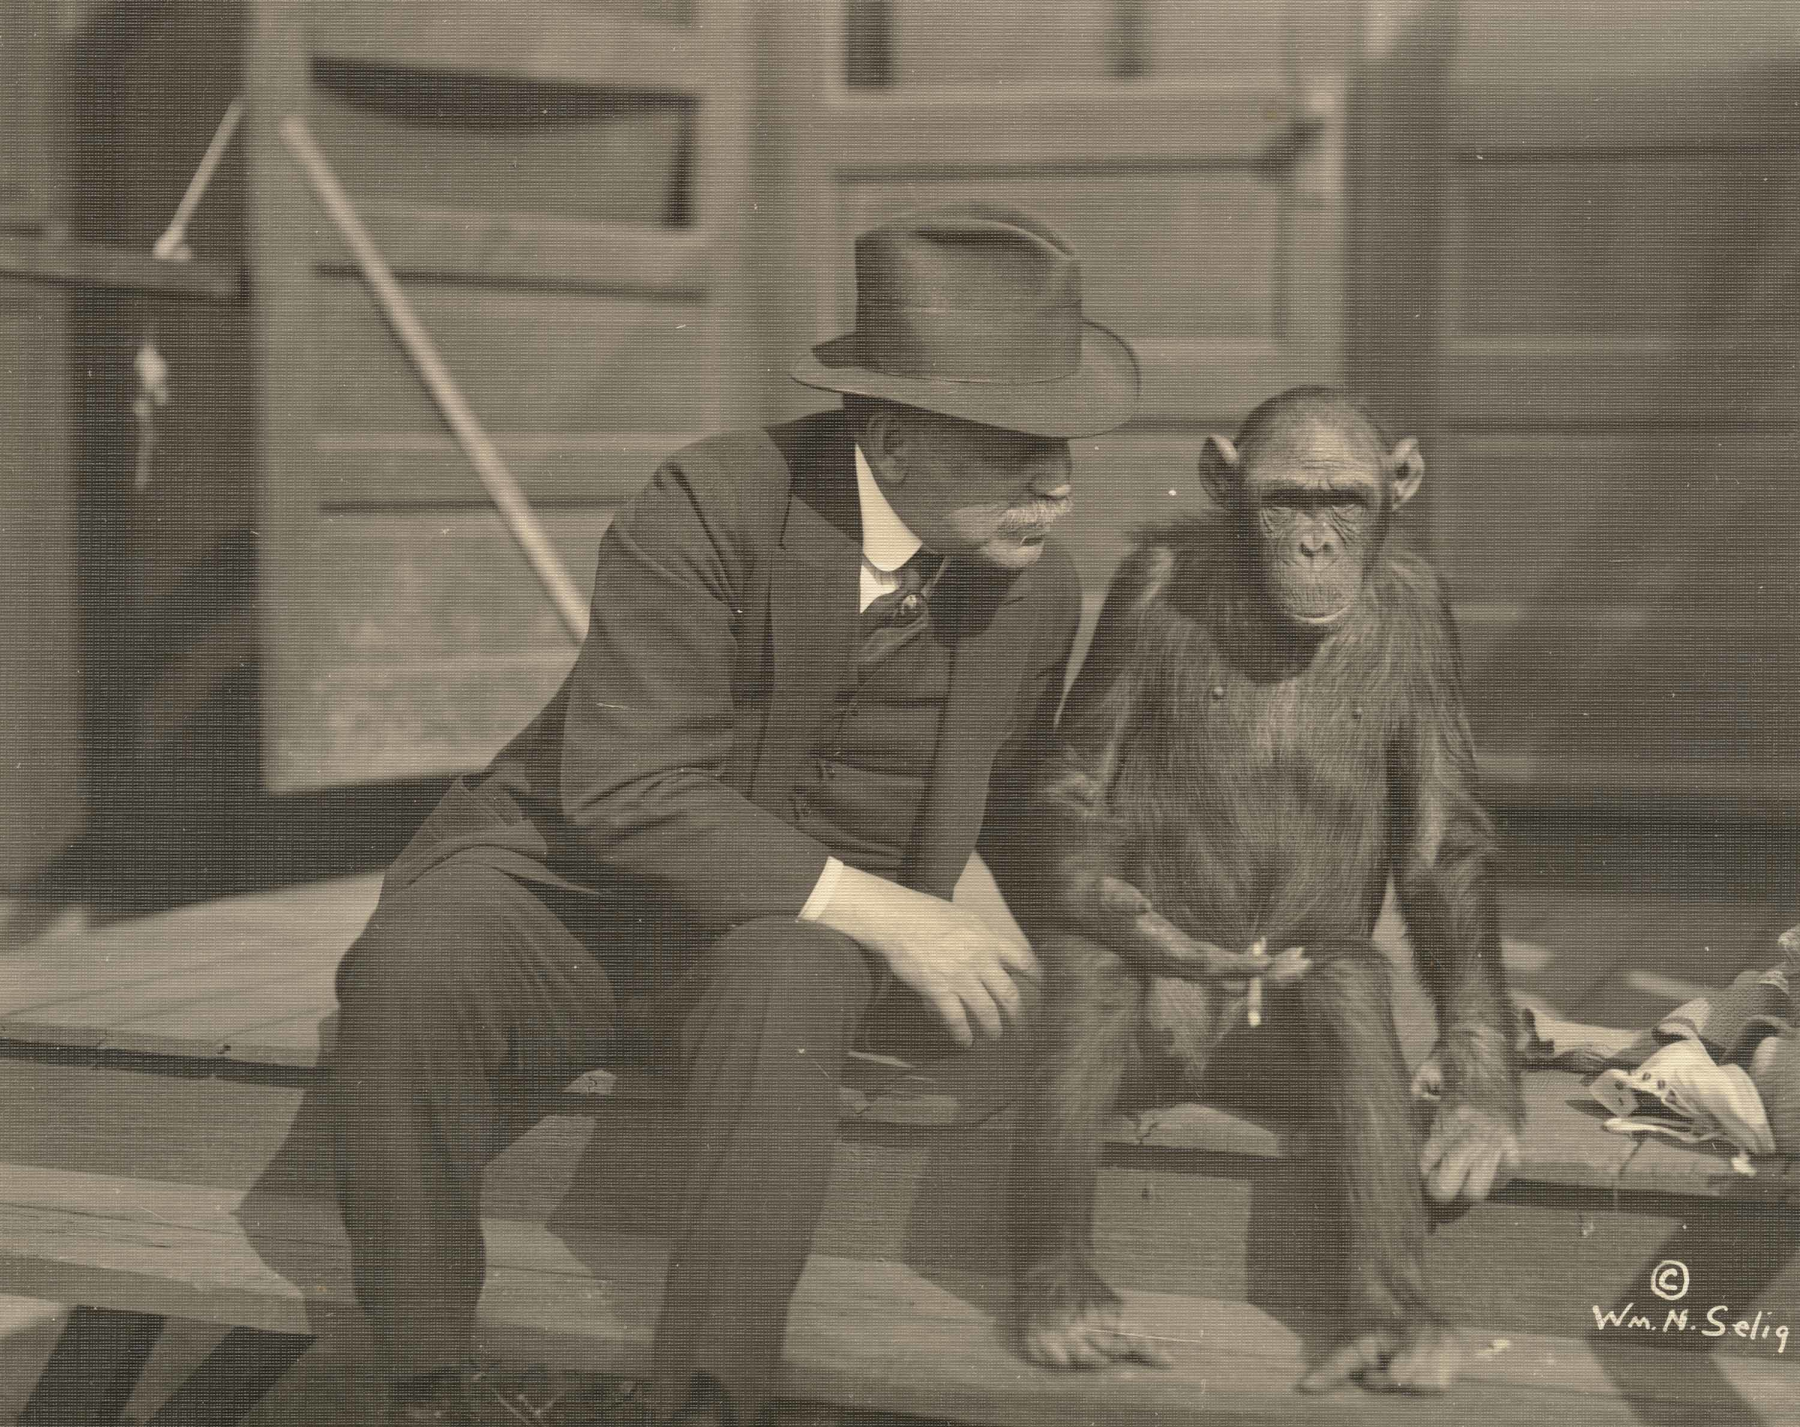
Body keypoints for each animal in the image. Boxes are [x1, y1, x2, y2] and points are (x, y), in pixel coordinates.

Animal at [1015, 383, 1519, 1389]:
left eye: (1345, 500)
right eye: (1284, 500)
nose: (1315, 545)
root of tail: (1213, 1064)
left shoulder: (1430, 609)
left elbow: (1440, 841)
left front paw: (1481, 1101)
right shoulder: (1139, 587)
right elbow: (1082, 779)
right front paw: (1119, 903)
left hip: (1278, 1048)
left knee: (1346, 986)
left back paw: (1393, 1323)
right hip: (1165, 1048)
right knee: (1094, 963)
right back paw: (1066, 1300)